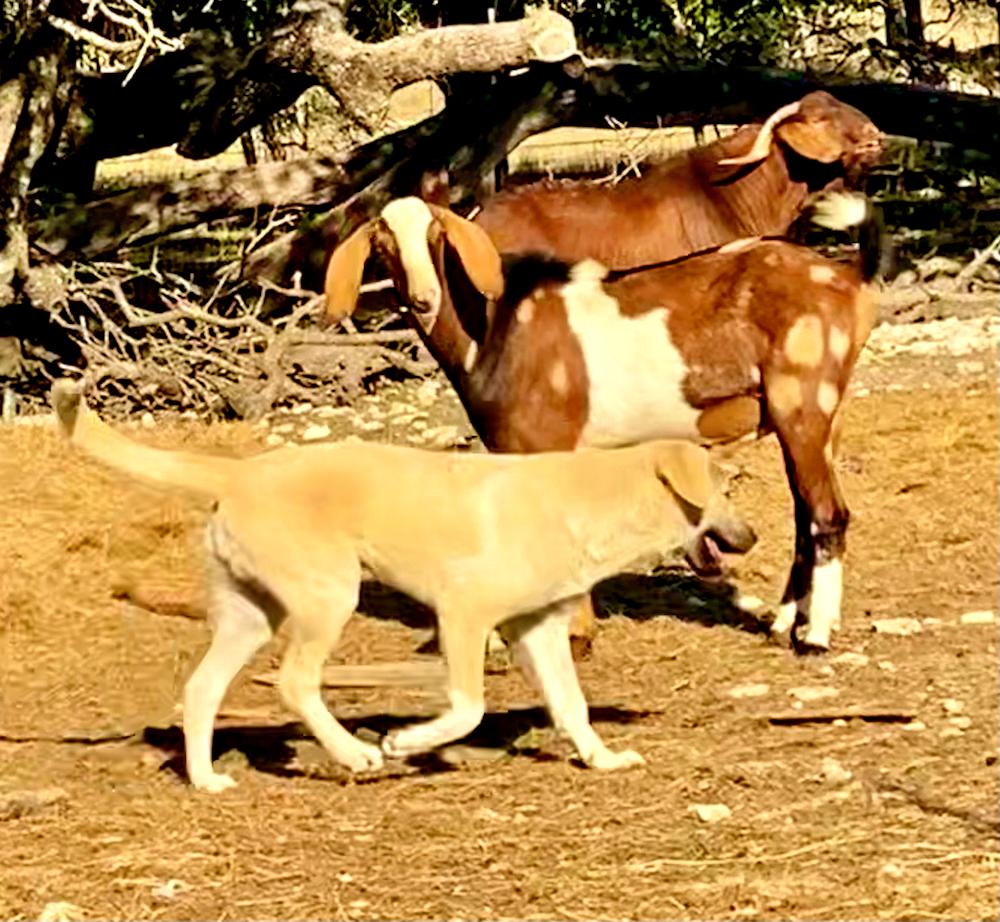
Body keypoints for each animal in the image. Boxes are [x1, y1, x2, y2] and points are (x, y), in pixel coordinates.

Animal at [47, 378, 752, 788]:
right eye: (722, 488)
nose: (753, 538)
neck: (588, 500)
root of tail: (239, 474)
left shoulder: (540, 628)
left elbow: (572, 705)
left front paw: (602, 759)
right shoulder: (464, 612)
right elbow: (467, 707)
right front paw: (408, 742)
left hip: (252, 615)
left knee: (201, 690)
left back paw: (205, 781)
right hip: (330, 596)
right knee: (294, 682)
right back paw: (353, 754)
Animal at [322, 191, 884, 652]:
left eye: (437, 235)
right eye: (382, 242)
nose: (424, 299)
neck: (496, 325)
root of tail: (849, 276)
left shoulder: (545, 444)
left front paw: (567, 635)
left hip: (803, 402)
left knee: (828, 514)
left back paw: (815, 636)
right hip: (822, 418)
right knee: (805, 516)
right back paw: (783, 622)